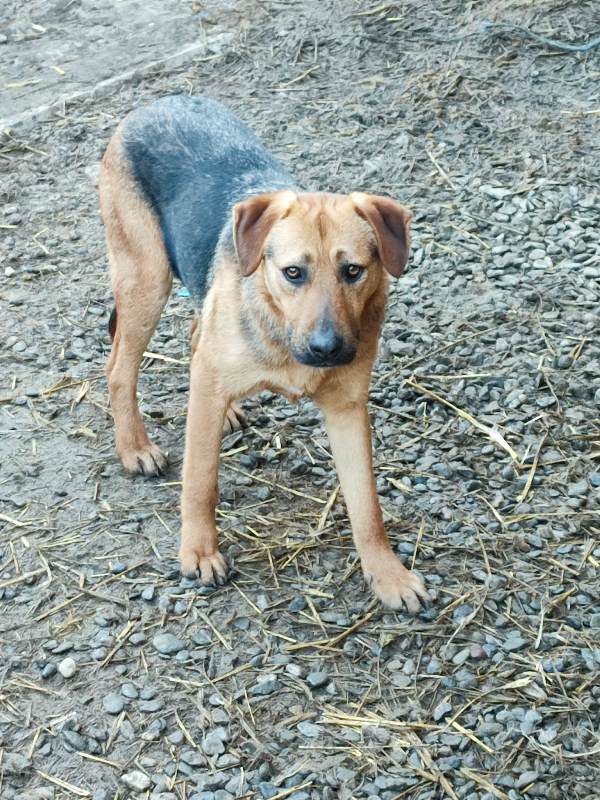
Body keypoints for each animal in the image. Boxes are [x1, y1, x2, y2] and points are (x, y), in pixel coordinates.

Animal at [99, 97, 426, 616]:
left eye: (353, 270)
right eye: (293, 272)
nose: (326, 349)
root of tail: (159, 101)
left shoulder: (348, 408)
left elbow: (366, 505)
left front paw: (387, 574)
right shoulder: (208, 390)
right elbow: (200, 480)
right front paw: (199, 552)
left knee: (194, 334)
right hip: (146, 280)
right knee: (119, 369)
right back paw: (134, 448)